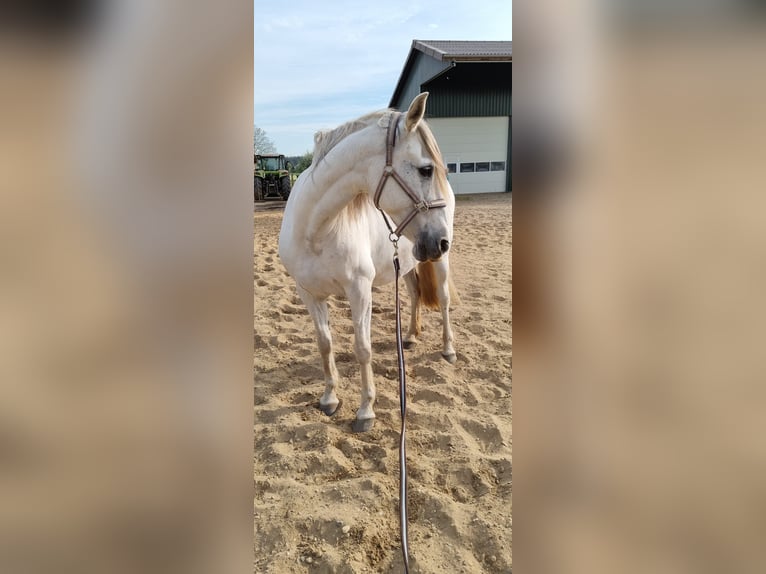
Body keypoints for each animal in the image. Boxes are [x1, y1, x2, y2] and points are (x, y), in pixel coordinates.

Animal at [278, 92, 457, 433]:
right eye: (426, 170)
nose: (440, 241)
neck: (315, 230)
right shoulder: (308, 293)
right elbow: (324, 343)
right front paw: (329, 399)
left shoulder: (359, 290)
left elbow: (362, 349)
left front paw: (365, 411)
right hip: (409, 261)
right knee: (414, 294)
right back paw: (409, 337)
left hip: (439, 262)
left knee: (442, 300)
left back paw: (448, 349)